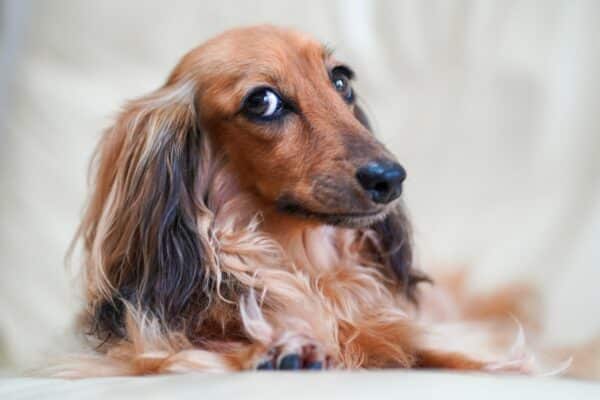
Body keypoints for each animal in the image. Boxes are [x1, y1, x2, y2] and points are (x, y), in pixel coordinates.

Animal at [65, 24, 536, 376]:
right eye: (262, 101)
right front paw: (281, 346)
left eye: (341, 81)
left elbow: (430, 342)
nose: (391, 179)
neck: (301, 262)